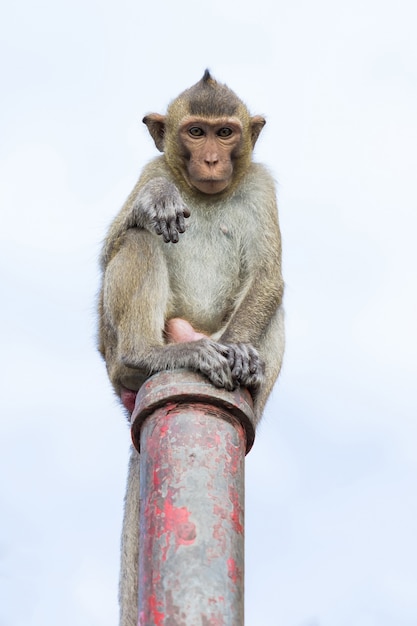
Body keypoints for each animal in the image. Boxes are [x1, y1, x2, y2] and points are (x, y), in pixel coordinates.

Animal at [97, 70, 284, 624]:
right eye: (195, 132)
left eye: (225, 133)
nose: (212, 160)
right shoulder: (150, 167)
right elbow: (117, 243)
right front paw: (157, 199)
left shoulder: (261, 185)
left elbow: (269, 277)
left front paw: (243, 354)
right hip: (114, 349)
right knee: (139, 240)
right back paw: (150, 356)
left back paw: (247, 384)